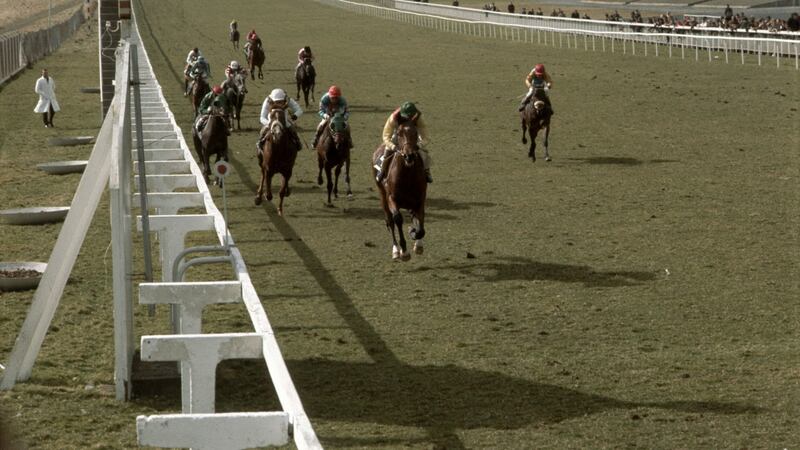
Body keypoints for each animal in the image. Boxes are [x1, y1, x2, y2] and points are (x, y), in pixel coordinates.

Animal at [372, 123, 428, 262]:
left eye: (415, 133)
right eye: (399, 133)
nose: (409, 155)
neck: (407, 176)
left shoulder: (420, 199)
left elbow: (420, 224)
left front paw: (416, 238)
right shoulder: (391, 199)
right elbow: (397, 219)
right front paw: (404, 251)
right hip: (382, 196)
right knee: (390, 221)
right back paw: (396, 250)